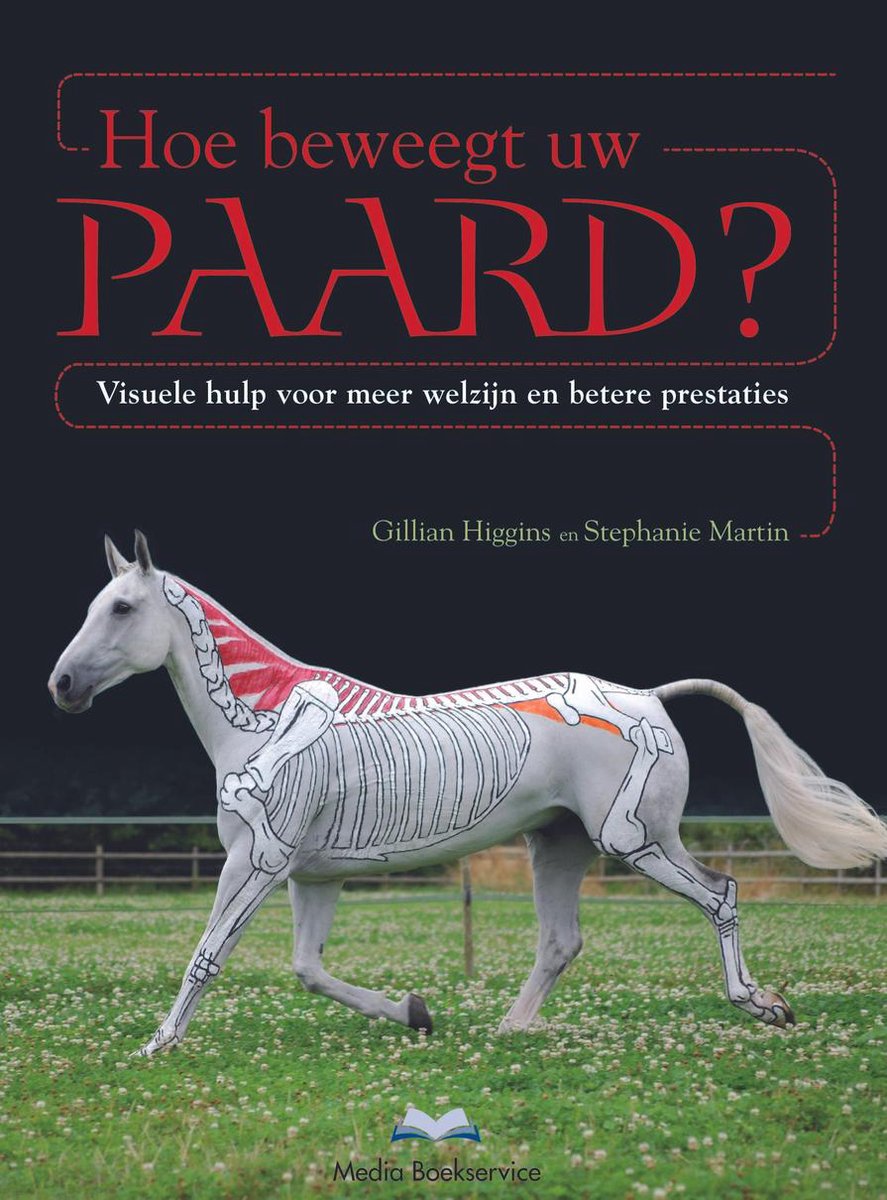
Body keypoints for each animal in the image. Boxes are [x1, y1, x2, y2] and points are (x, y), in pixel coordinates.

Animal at [48, 532, 887, 1057]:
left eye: (122, 608)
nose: (62, 685)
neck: (262, 719)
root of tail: (647, 696)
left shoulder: (256, 862)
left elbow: (207, 955)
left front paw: (158, 1042)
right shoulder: (310, 875)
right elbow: (308, 970)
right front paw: (415, 1014)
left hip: (634, 841)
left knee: (719, 894)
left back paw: (763, 1006)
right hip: (558, 845)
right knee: (560, 942)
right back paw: (510, 1029)